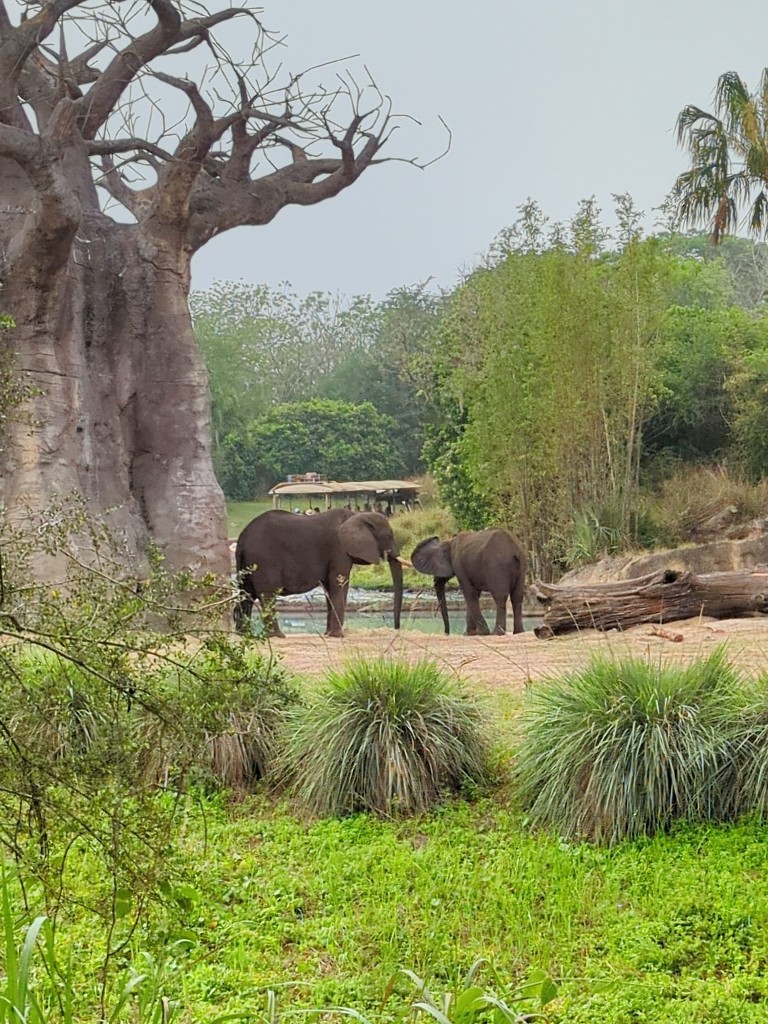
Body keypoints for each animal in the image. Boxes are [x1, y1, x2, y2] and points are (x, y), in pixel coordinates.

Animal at [234, 507, 409, 634]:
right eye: (389, 535)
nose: (396, 628)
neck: (356, 515)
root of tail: (241, 539)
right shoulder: (338, 550)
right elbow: (339, 586)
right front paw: (337, 635)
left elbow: (330, 589)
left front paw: (328, 634)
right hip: (263, 561)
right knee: (267, 595)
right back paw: (277, 635)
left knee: (246, 594)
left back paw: (243, 634)